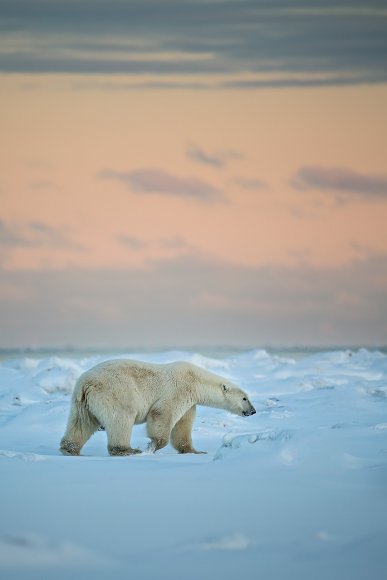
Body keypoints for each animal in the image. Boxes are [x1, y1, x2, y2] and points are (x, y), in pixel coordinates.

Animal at [59, 358, 256, 458]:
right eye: (245, 398)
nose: (253, 411)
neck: (196, 381)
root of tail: (86, 384)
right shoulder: (179, 389)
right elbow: (162, 413)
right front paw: (152, 446)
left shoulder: (190, 402)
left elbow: (183, 426)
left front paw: (195, 451)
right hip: (115, 392)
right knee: (121, 418)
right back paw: (127, 450)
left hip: (81, 402)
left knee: (81, 423)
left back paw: (70, 449)